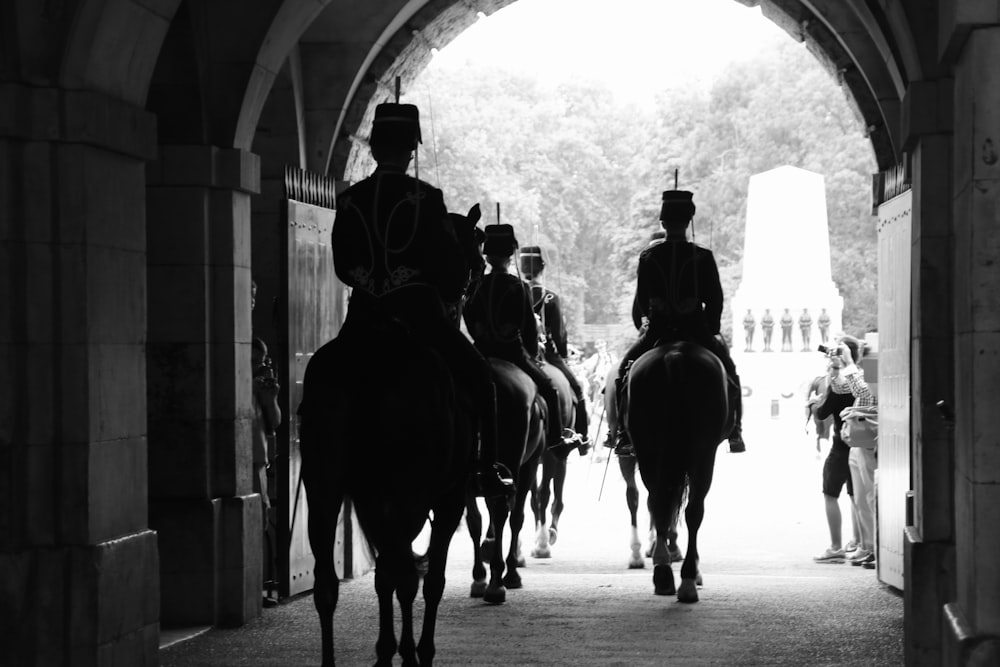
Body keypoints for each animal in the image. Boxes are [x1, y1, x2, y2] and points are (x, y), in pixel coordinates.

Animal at [296, 206, 484, 664]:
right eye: (476, 260)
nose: (465, 302)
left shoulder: (368, 497)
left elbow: (388, 575)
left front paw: (390, 648)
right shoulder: (447, 497)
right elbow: (427, 579)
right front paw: (416, 649)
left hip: (324, 487)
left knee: (328, 585)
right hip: (408, 492)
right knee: (407, 575)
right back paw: (410, 652)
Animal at [462, 360, 544, 604]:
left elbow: (477, 520)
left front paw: (480, 575)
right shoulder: (528, 467)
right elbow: (516, 518)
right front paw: (510, 571)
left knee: (483, 517)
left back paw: (487, 579)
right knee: (500, 513)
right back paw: (497, 582)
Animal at [628, 342, 732, 604]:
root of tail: (675, 354)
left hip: (648, 447)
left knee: (657, 501)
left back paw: (663, 573)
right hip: (703, 450)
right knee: (694, 510)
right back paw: (687, 579)